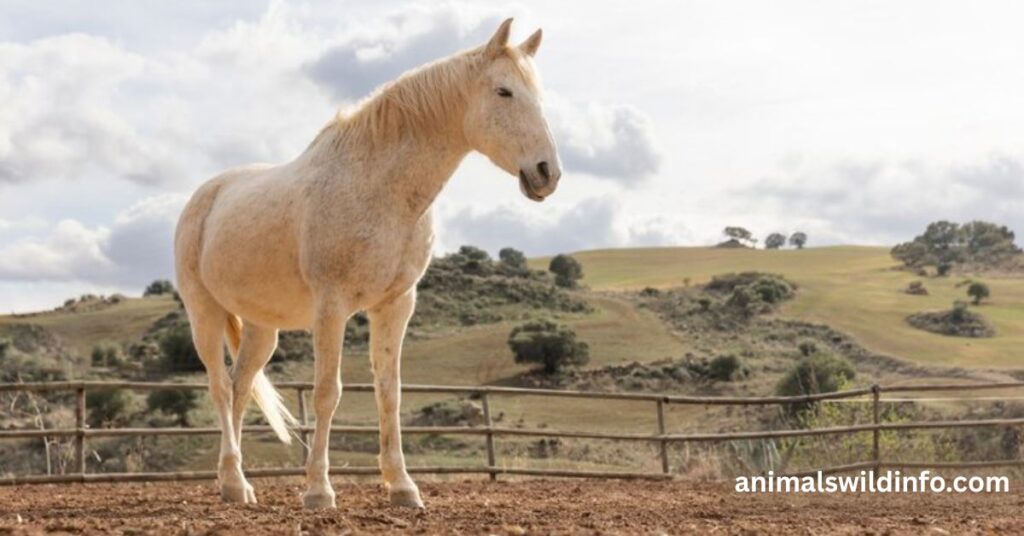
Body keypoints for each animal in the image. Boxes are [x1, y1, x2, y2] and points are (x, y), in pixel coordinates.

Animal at [173, 18, 561, 509]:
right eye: (504, 92)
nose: (547, 173)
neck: (378, 187)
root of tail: (207, 194)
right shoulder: (332, 307)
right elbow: (327, 392)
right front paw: (318, 490)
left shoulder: (395, 305)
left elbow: (389, 393)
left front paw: (403, 487)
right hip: (204, 313)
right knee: (221, 389)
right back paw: (235, 483)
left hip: (263, 328)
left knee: (241, 388)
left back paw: (235, 483)